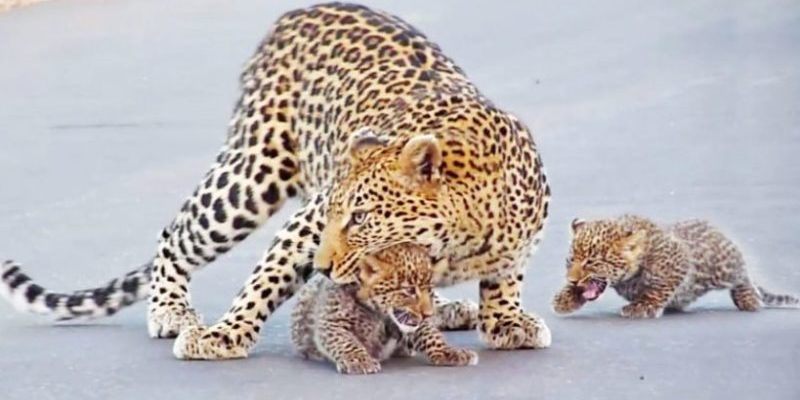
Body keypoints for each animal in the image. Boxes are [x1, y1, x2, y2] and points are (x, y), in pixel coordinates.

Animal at [0, 2, 552, 360]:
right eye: (338, 215)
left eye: (362, 218)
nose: (324, 267)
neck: (463, 236)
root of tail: (302, 11)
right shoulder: (306, 225)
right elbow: (263, 281)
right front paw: (223, 336)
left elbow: (506, 278)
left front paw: (506, 321)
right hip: (250, 173)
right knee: (176, 232)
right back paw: (171, 310)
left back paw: (448, 306)